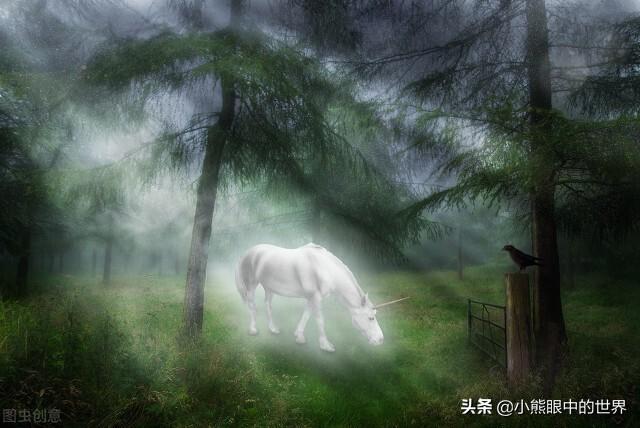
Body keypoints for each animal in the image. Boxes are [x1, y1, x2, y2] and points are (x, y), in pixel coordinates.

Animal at [236, 242, 410, 352]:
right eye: (370, 318)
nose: (380, 340)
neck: (324, 268)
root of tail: (249, 252)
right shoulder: (316, 297)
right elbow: (319, 319)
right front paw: (326, 345)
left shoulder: (310, 298)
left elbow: (306, 314)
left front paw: (299, 336)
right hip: (252, 284)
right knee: (252, 305)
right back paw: (253, 330)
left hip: (269, 288)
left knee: (267, 305)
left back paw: (273, 329)